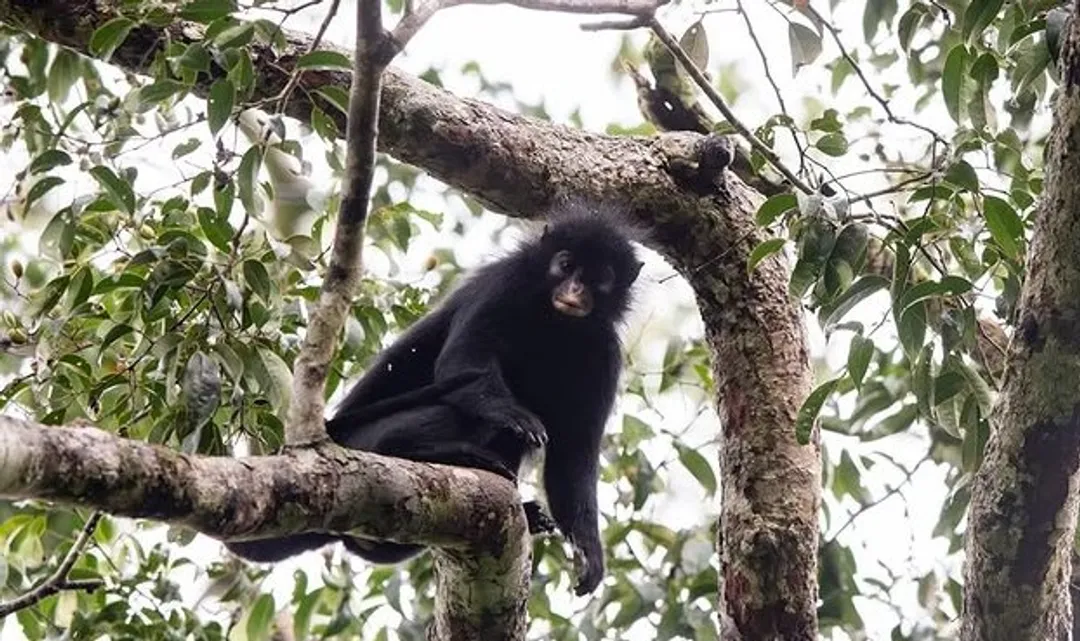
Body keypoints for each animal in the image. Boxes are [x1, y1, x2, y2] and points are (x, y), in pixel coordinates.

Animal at [225, 204, 644, 596]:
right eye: (566, 265)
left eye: (600, 278)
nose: (575, 291)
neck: (554, 322)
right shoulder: (503, 283)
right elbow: (464, 362)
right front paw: (512, 414)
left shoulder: (605, 353)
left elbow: (573, 455)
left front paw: (589, 553)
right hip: (366, 439)